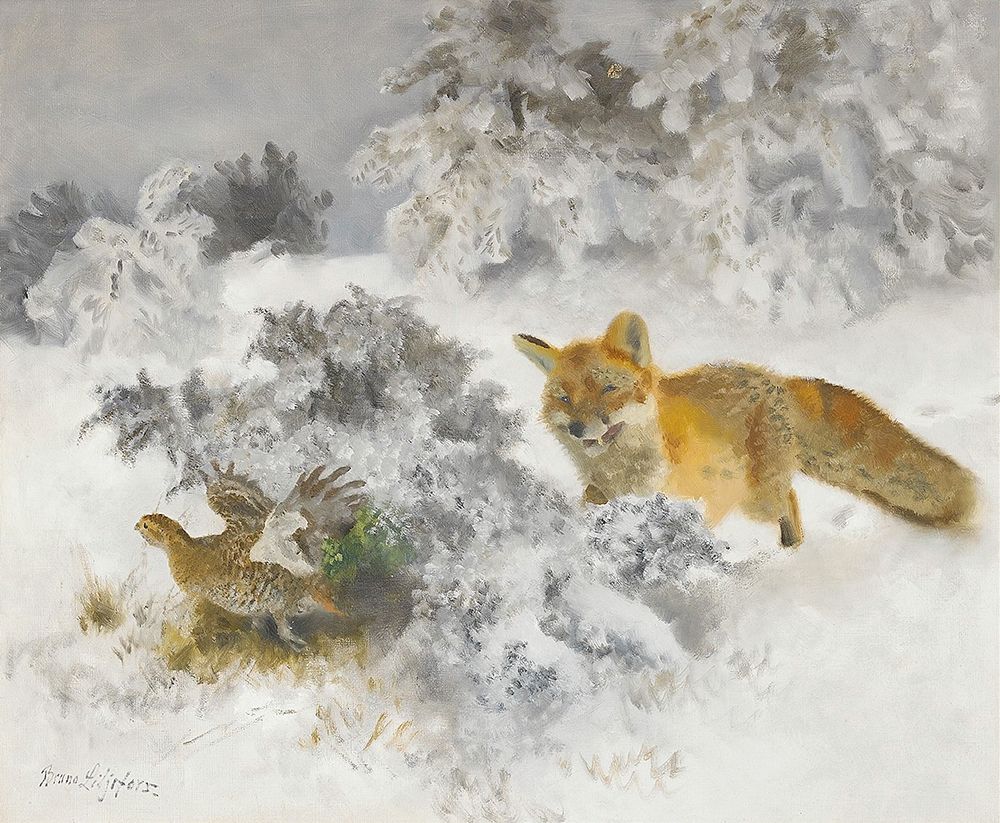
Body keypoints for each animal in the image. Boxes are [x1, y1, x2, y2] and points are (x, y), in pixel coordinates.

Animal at [514, 311, 977, 547]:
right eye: (564, 399)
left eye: (608, 389)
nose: (578, 428)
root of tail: (774, 378)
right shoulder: (603, 495)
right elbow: (592, 507)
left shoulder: (705, 498)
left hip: (757, 498)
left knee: (790, 501)